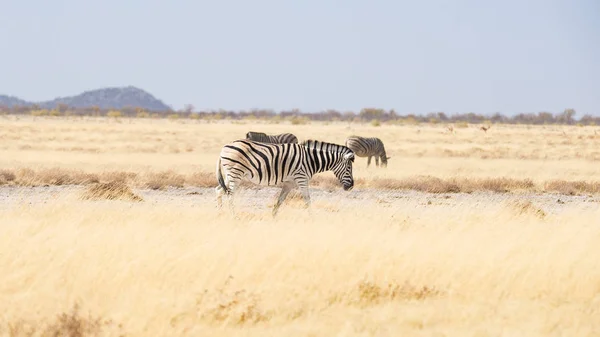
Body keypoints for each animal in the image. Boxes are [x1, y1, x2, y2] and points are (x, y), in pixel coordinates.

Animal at [217, 138, 354, 215]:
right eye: (349, 168)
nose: (351, 186)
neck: (311, 159)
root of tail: (224, 147)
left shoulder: (290, 183)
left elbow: (280, 200)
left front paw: (273, 216)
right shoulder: (302, 178)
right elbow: (307, 199)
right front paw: (312, 218)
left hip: (229, 175)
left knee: (219, 190)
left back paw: (219, 213)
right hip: (235, 174)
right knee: (230, 194)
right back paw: (234, 216)